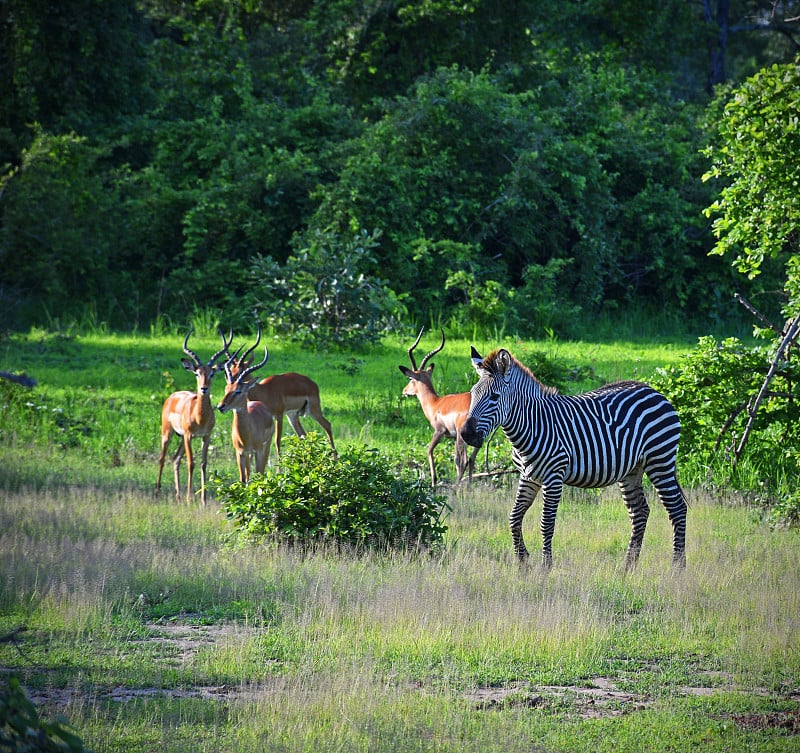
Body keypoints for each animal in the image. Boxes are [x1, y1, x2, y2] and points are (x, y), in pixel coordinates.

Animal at [462, 346, 688, 568]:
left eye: (494, 397)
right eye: (472, 395)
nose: (466, 434)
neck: (533, 424)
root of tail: (655, 392)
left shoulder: (554, 476)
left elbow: (546, 523)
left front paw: (545, 568)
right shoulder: (528, 476)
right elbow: (514, 517)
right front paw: (523, 562)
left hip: (660, 460)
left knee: (677, 509)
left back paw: (677, 568)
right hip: (632, 469)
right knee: (640, 512)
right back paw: (627, 568)